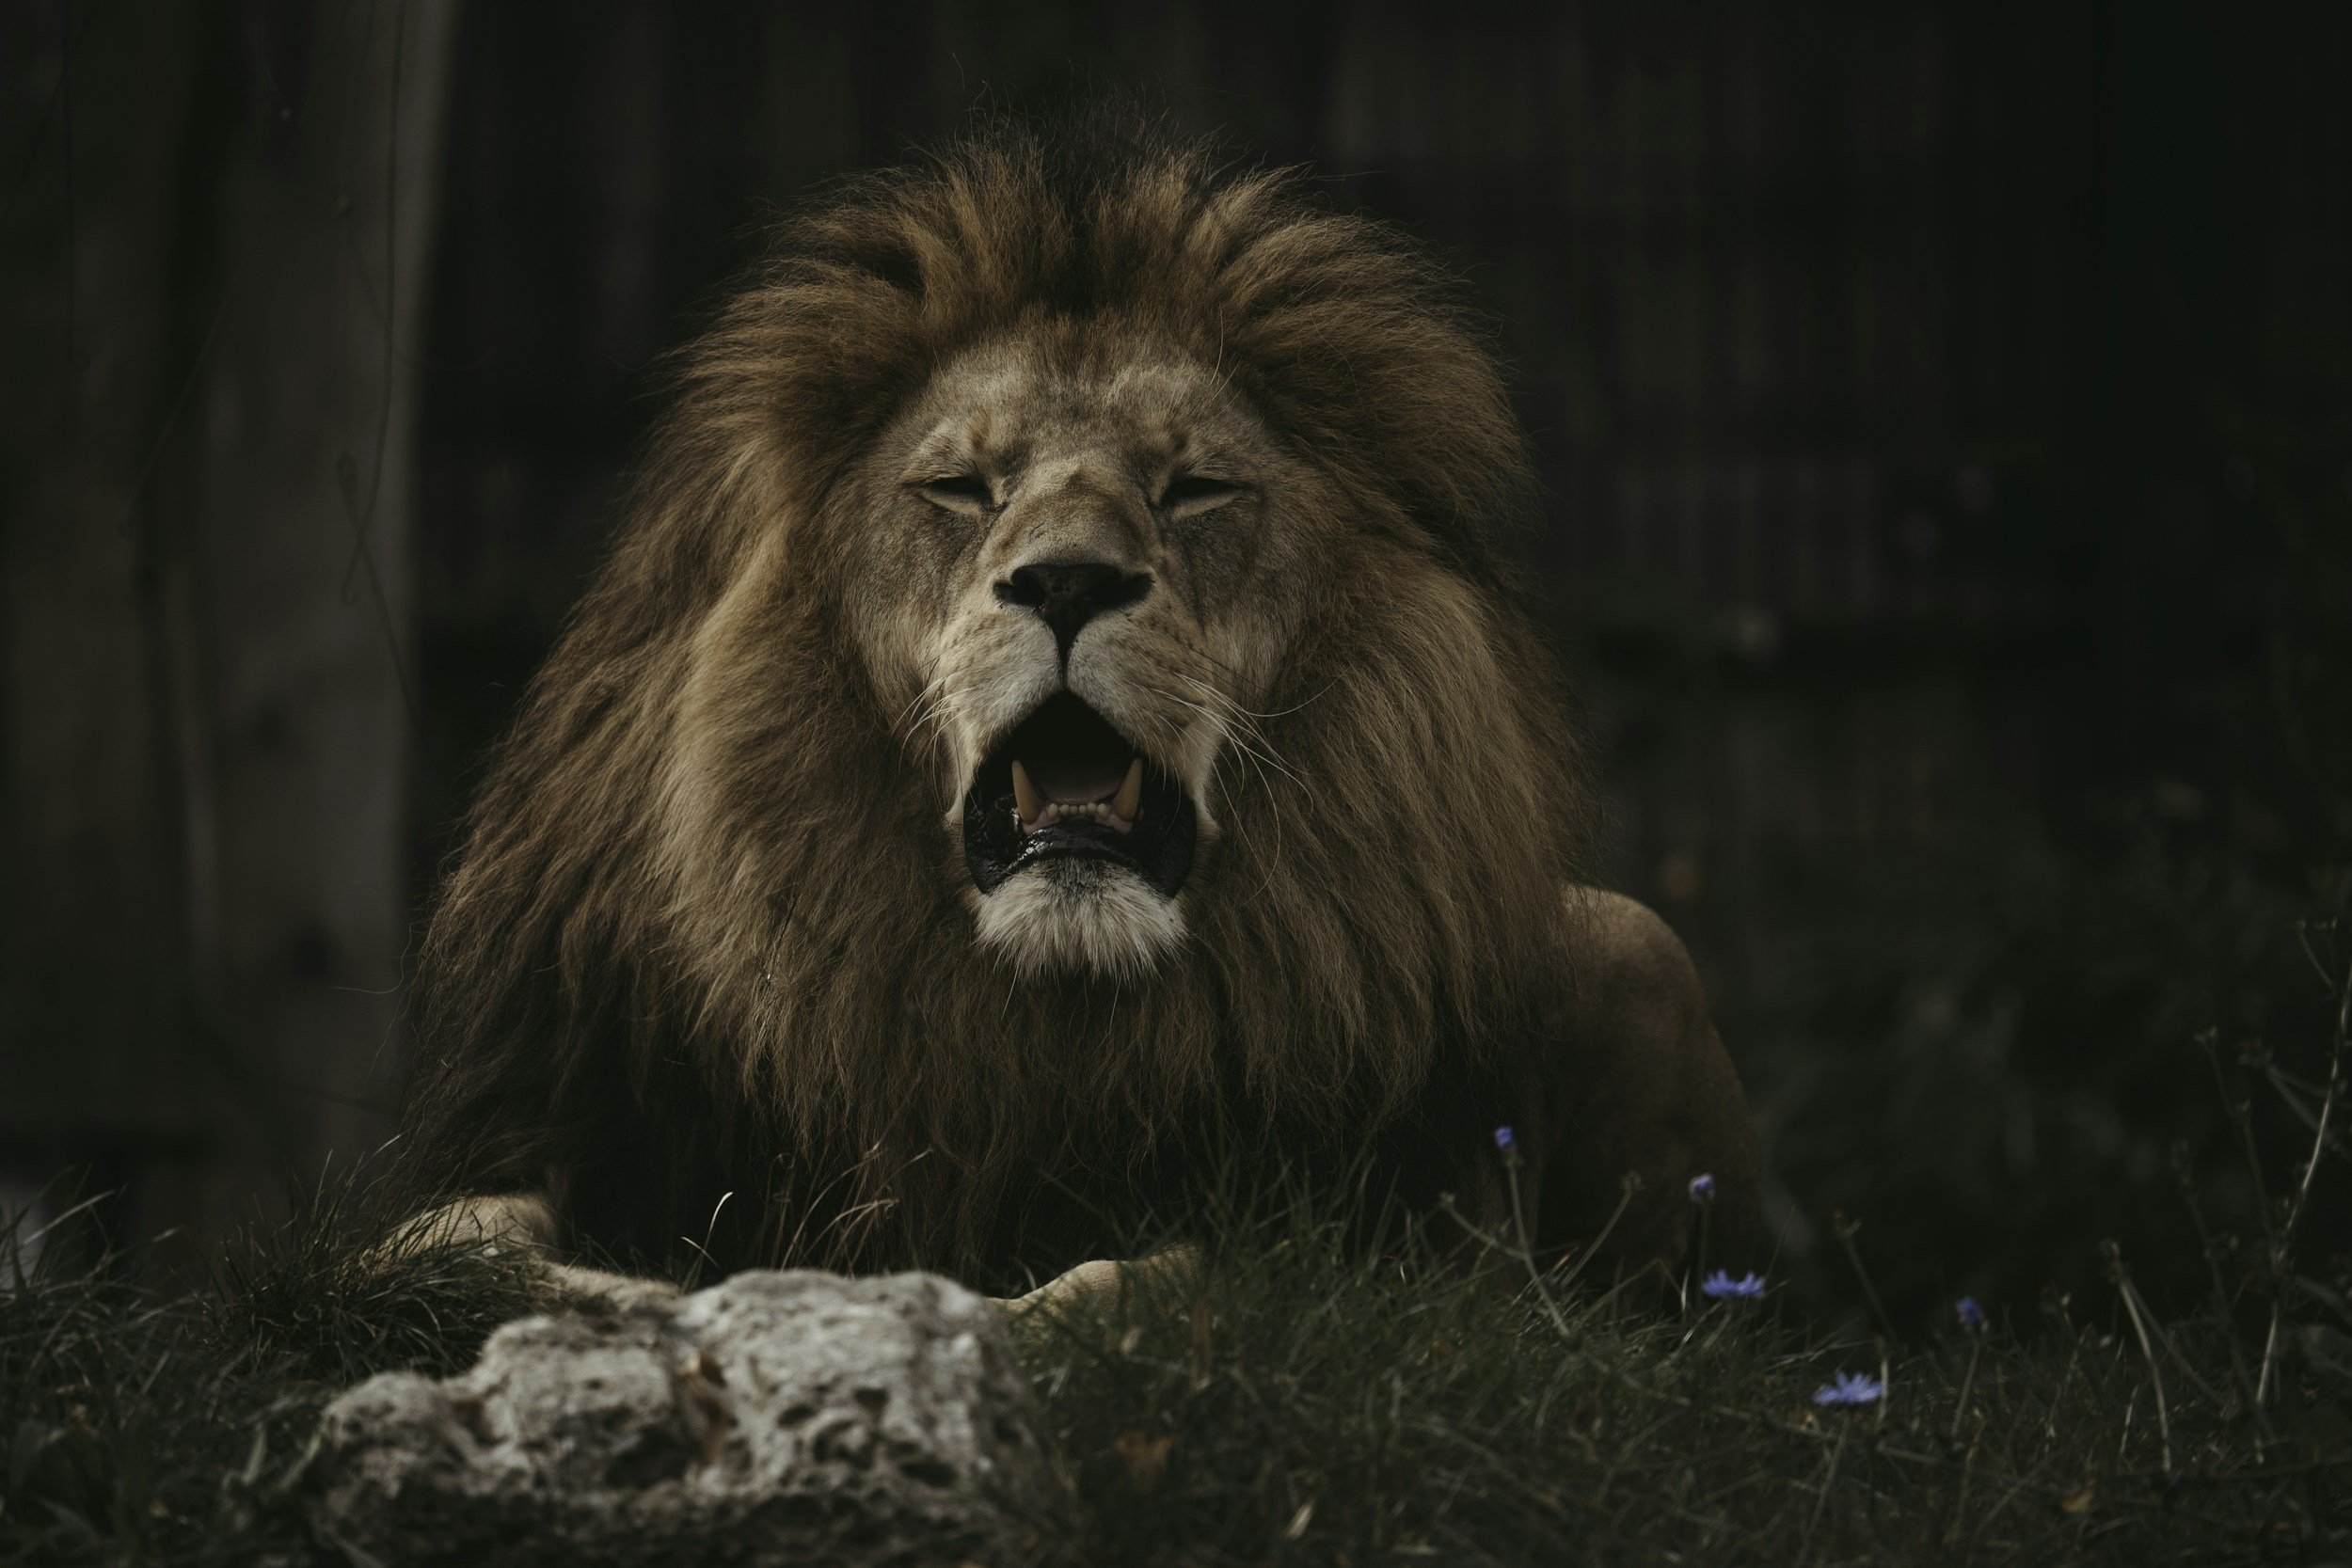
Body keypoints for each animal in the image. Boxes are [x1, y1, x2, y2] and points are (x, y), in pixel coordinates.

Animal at [385, 113, 1761, 1311]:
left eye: (1195, 486)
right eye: (958, 486)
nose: (1065, 581)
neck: (1043, 1004)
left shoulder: (1391, 1231)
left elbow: (1170, 1274)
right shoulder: (576, 1105)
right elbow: (442, 1237)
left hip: (1630, 935)